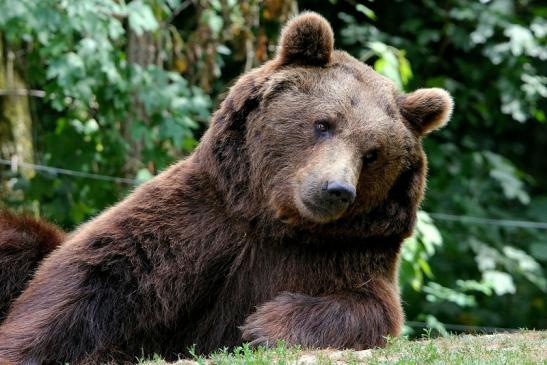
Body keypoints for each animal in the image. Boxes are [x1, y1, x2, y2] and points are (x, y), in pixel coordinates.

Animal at [0, 12, 454, 364]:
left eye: (373, 153)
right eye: (323, 123)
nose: (336, 189)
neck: (273, 219)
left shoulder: (344, 253)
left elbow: (368, 308)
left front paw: (263, 324)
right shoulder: (194, 222)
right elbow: (92, 280)